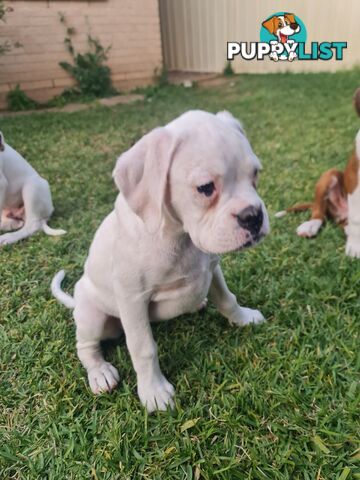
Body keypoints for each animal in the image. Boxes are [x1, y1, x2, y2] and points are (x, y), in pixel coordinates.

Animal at [51, 109, 270, 412]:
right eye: (205, 188)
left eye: (255, 174)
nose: (254, 216)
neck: (180, 237)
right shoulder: (132, 298)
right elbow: (143, 348)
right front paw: (153, 391)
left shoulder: (212, 269)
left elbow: (228, 299)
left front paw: (243, 318)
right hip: (92, 316)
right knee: (85, 347)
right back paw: (100, 372)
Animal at [276, 87, 360, 256]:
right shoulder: (355, 179)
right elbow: (357, 218)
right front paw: (355, 246)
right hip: (328, 176)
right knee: (319, 212)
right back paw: (311, 225)